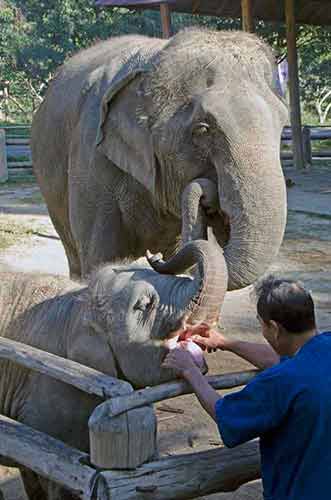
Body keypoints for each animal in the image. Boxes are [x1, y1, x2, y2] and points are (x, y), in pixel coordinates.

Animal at [32, 28, 290, 286]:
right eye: (202, 129)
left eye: (282, 125)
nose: (152, 257)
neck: (157, 57)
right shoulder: (91, 159)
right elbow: (99, 260)